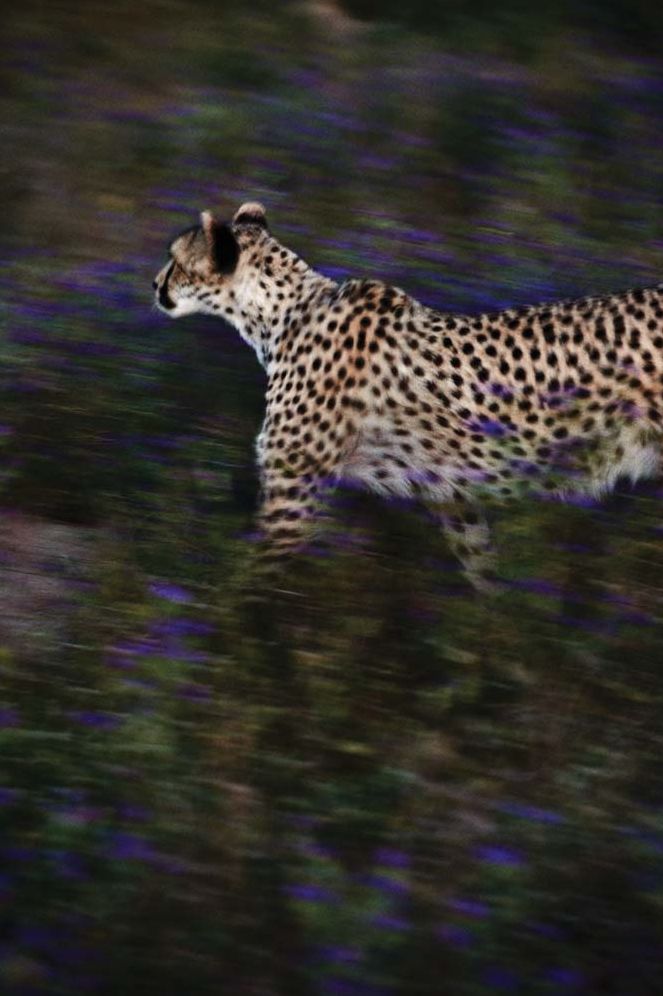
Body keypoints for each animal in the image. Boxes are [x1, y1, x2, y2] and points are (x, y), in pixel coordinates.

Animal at [153, 201, 663, 590]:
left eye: (176, 260)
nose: (155, 284)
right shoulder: (453, 494)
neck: (286, 315)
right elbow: (482, 571)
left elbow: (254, 584)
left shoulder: (293, 486)